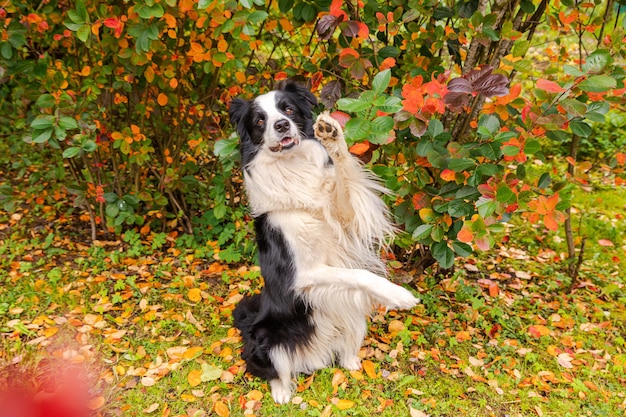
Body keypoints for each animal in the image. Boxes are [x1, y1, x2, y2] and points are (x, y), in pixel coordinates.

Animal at [227, 81, 416, 404]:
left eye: (288, 109)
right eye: (260, 121)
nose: (281, 125)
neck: (292, 169)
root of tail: (311, 359)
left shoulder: (346, 218)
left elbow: (344, 177)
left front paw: (332, 135)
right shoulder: (303, 275)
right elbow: (359, 274)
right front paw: (398, 295)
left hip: (351, 315)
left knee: (344, 347)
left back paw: (352, 362)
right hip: (266, 339)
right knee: (274, 370)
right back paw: (282, 392)